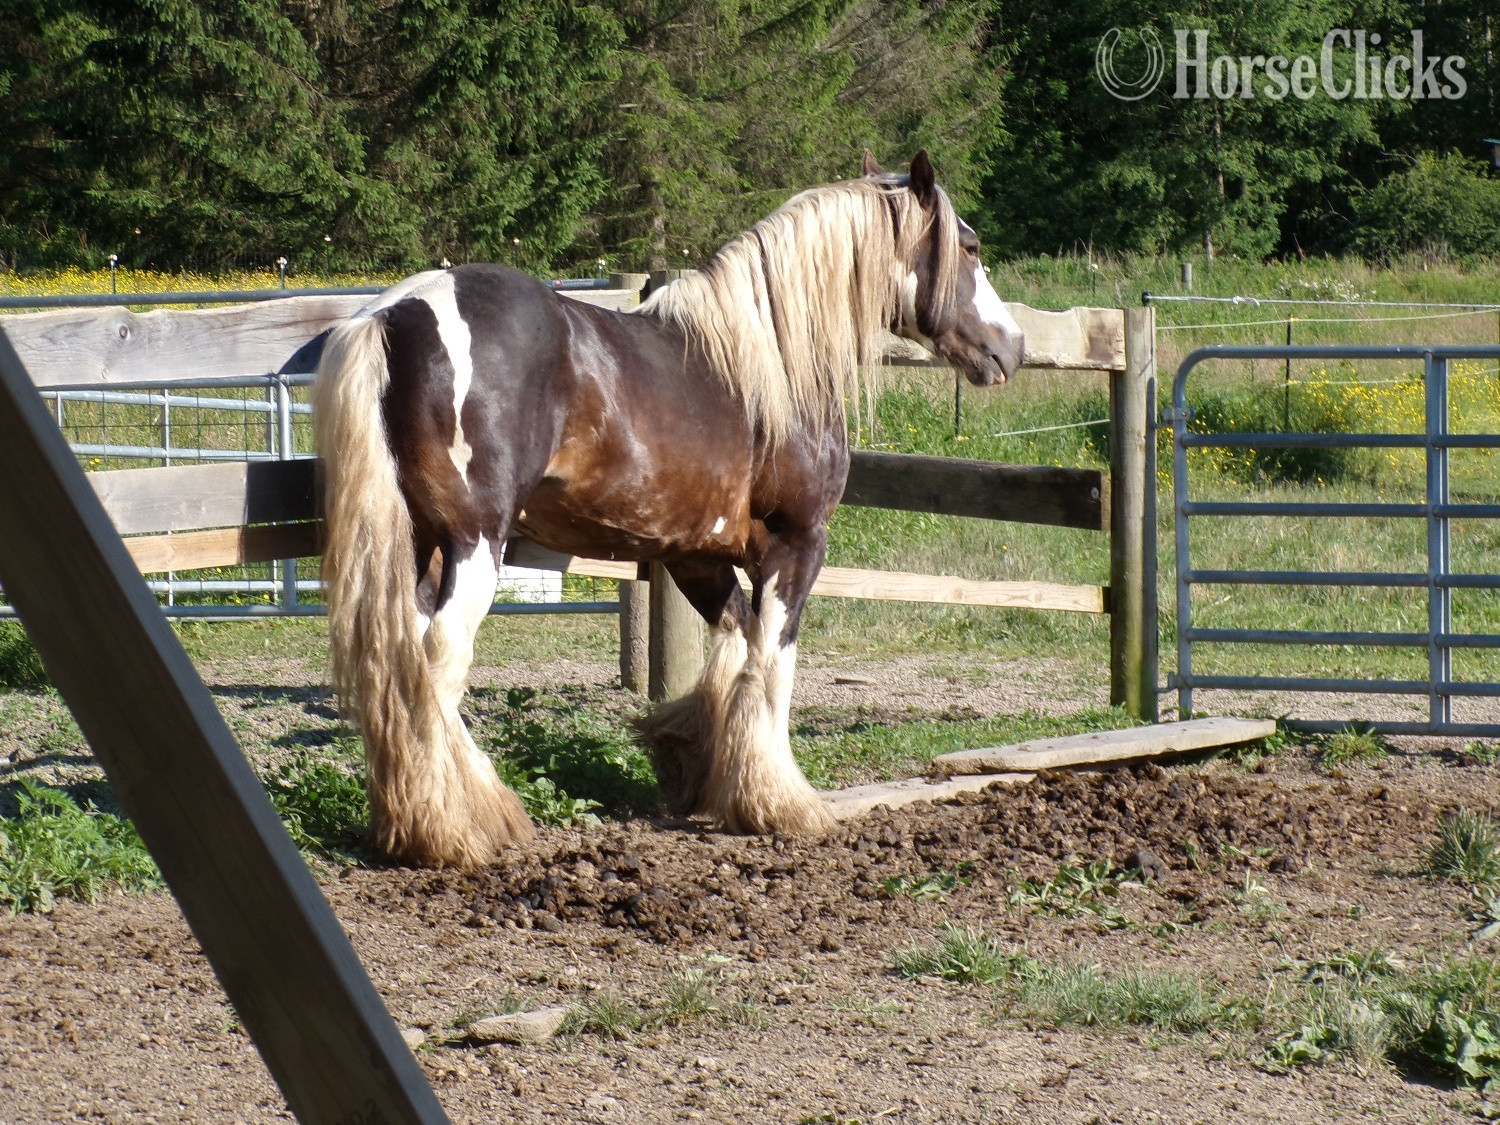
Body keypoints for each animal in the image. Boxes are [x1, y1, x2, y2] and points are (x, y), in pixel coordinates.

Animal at [312, 150, 1025, 869]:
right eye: (970, 247)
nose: (1012, 348)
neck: (769, 363)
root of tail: (395, 314)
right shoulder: (797, 544)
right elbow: (773, 665)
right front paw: (781, 802)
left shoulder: (695, 556)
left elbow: (734, 648)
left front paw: (704, 771)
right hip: (476, 547)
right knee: (438, 667)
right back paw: (455, 828)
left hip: (421, 550)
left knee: (401, 670)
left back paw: (422, 818)